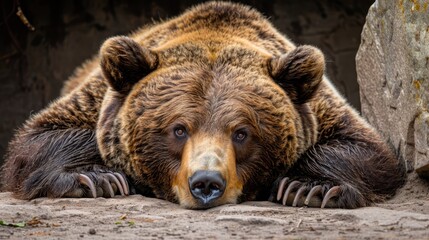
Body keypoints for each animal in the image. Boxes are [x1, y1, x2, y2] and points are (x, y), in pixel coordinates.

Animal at [0, 1, 404, 208]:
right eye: (178, 129)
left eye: (242, 133)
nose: (206, 183)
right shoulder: (93, 98)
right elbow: (38, 139)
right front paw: (98, 178)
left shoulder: (322, 107)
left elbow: (367, 149)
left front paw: (309, 188)